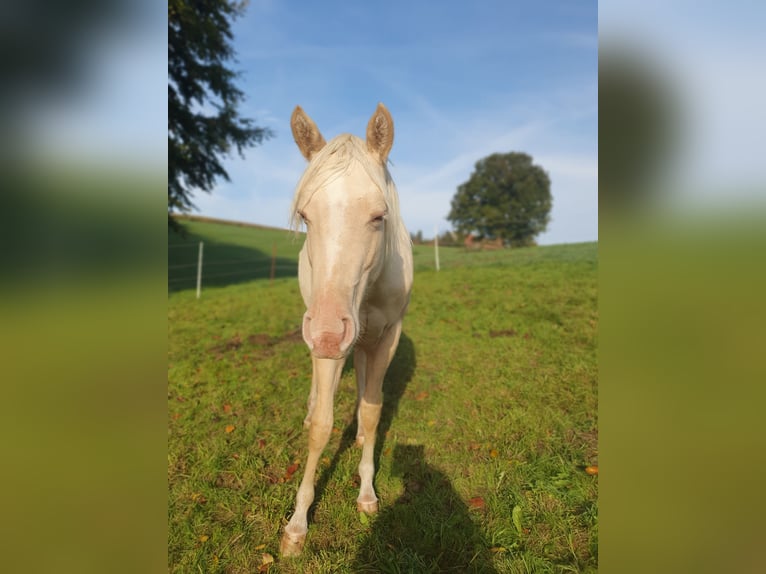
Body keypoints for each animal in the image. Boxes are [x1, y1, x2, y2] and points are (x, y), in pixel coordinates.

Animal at [280, 103, 414, 560]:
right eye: (305, 216)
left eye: (379, 216)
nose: (325, 333)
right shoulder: (331, 344)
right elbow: (322, 426)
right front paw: (296, 526)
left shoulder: (386, 336)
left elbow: (373, 411)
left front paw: (368, 493)